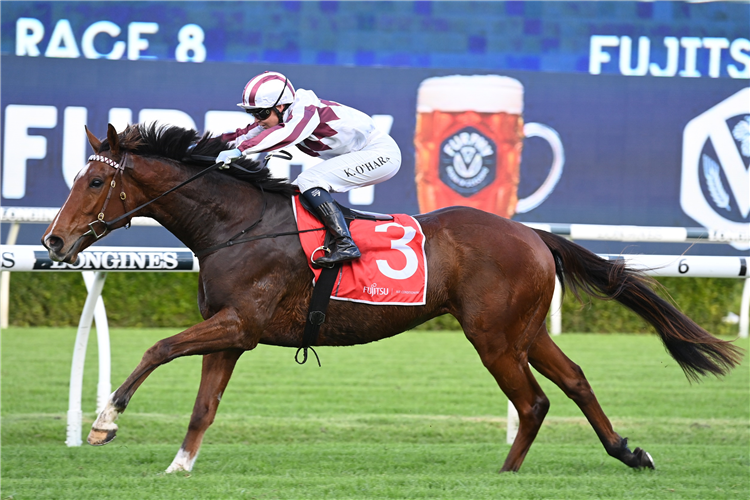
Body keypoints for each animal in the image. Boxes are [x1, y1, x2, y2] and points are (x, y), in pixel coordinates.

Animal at [44, 124, 744, 472]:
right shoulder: (233, 331)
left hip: (493, 335)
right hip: (523, 329)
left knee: (534, 400)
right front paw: (178, 469)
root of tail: (531, 233)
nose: (53, 240)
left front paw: (106, 422)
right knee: (572, 381)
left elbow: (158, 349)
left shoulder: (240, 323)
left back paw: (506, 476)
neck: (236, 224)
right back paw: (626, 452)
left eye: (97, 181)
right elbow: (203, 406)